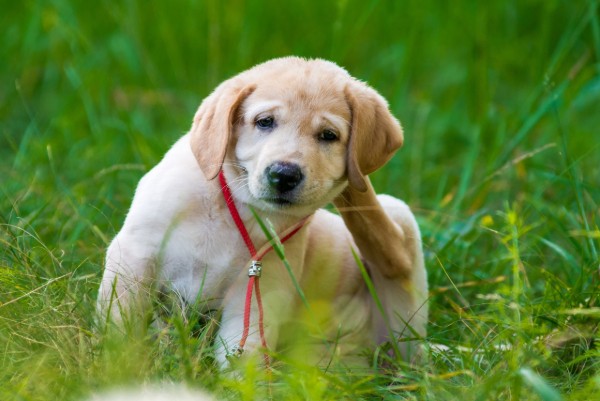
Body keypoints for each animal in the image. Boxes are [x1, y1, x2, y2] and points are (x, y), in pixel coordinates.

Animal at [97, 57, 426, 368]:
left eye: (328, 135)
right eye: (265, 122)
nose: (284, 174)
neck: (237, 208)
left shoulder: (259, 292)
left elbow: (245, 358)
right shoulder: (136, 254)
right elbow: (121, 322)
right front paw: (117, 364)